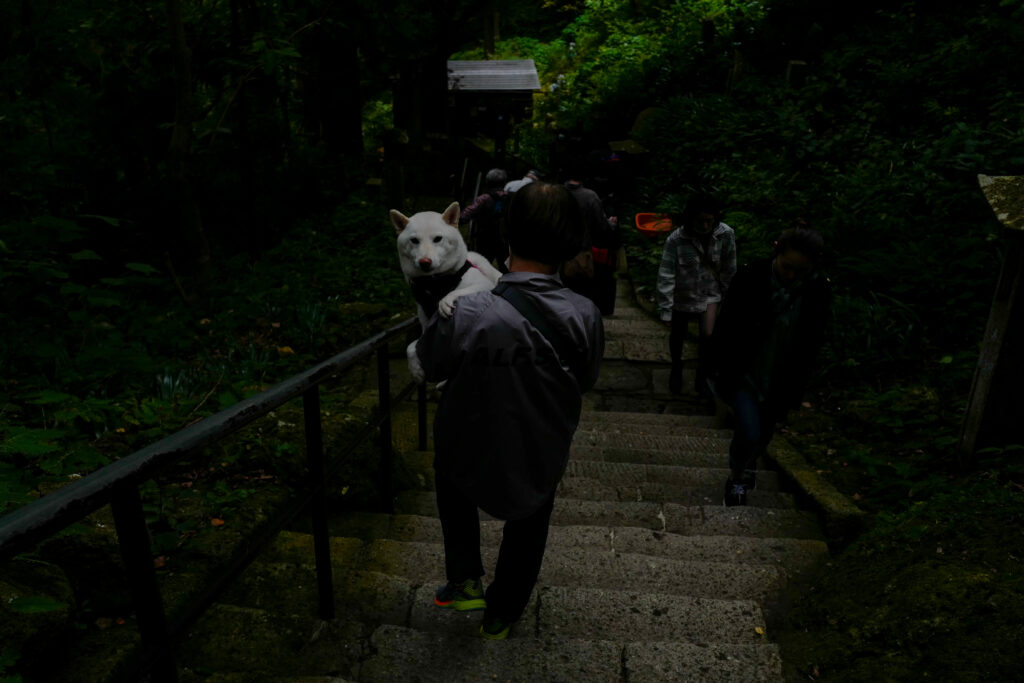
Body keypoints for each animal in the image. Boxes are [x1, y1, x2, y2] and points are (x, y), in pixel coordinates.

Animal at [389, 202, 501, 382]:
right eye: (414, 240)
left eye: (437, 239)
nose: (425, 262)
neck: (433, 283)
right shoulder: (426, 328)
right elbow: (411, 346)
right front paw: (415, 370)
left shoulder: (484, 284)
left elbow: (455, 293)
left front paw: (446, 302)